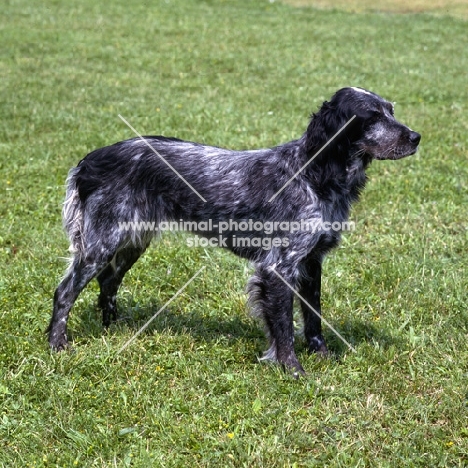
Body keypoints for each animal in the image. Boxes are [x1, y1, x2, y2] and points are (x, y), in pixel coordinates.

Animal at [47, 87, 420, 372]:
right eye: (372, 116)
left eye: (391, 111)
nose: (417, 137)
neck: (311, 174)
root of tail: (89, 160)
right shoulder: (278, 267)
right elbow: (284, 329)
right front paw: (293, 371)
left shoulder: (312, 262)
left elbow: (313, 319)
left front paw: (322, 356)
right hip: (101, 245)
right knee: (65, 292)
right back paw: (57, 344)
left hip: (131, 241)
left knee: (108, 282)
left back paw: (114, 327)